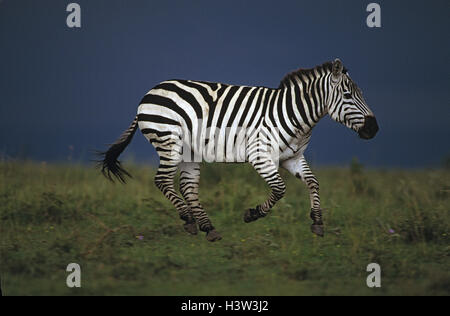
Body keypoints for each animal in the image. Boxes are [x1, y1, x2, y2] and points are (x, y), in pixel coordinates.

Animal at [99, 58, 380, 242]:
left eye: (360, 93)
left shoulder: (292, 157)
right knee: (163, 180)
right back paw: (189, 220)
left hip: (189, 151)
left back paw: (208, 227)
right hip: (169, 142)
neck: (295, 114)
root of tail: (149, 93)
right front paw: (252, 214)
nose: (374, 129)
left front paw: (318, 222)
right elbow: (280, 190)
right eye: (347, 95)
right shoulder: (260, 156)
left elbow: (313, 182)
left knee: (187, 187)